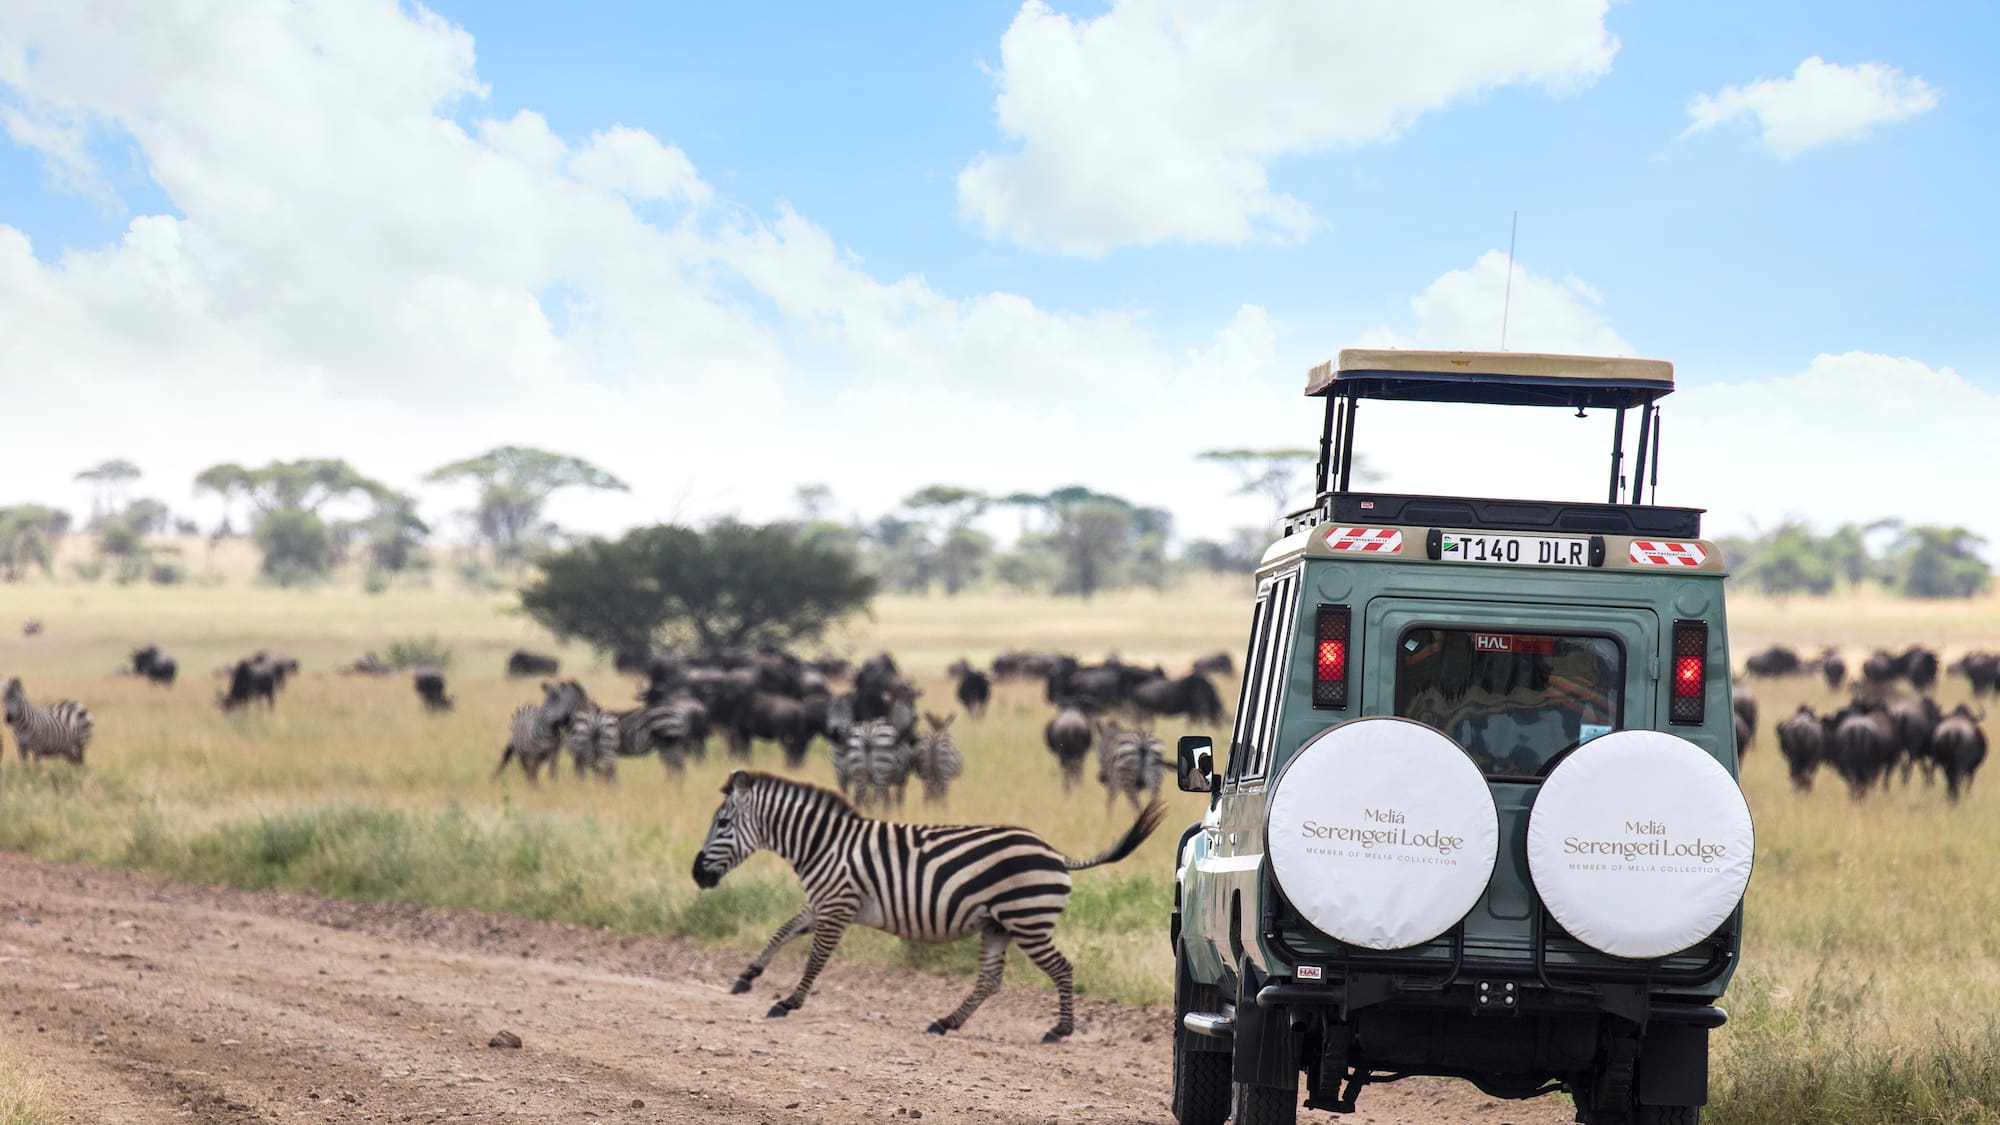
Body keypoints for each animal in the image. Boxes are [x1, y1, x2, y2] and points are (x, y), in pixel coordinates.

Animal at [693, 770, 1166, 1040]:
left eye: (723, 823)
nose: (697, 875)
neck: (822, 845)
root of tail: (1057, 854)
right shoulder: (825, 903)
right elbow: (782, 930)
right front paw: (747, 976)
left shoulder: (838, 905)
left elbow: (815, 960)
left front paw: (788, 1001)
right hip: (998, 925)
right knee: (989, 981)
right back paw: (946, 1022)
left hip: (1027, 921)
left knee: (1062, 969)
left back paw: (1060, 1030)